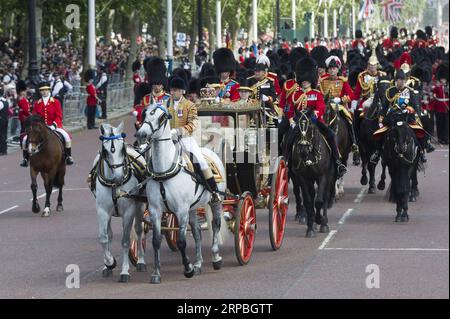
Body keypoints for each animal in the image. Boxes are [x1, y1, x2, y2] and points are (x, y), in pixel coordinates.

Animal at [91, 122, 146, 282]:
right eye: (105, 151)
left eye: (122, 149)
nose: (118, 177)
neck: (114, 184)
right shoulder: (102, 211)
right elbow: (104, 238)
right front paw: (109, 263)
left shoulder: (128, 212)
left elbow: (126, 240)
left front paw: (124, 271)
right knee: (109, 235)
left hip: (140, 207)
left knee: (139, 231)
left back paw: (140, 261)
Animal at [134, 104, 225, 284]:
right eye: (145, 113)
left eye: (161, 117)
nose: (141, 134)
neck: (164, 171)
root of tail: (209, 151)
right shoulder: (156, 210)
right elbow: (156, 241)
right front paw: (156, 273)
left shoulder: (181, 210)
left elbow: (182, 241)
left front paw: (187, 269)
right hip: (193, 207)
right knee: (196, 232)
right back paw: (198, 263)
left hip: (214, 200)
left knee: (215, 224)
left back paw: (216, 258)